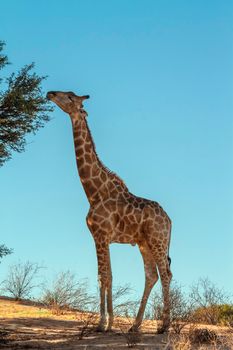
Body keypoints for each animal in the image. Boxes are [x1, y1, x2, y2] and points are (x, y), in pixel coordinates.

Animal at [46, 90, 172, 334]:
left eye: (70, 97)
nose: (50, 93)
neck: (93, 191)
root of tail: (170, 221)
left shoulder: (101, 235)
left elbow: (103, 276)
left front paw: (102, 323)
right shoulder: (101, 237)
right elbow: (108, 276)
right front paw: (110, 322)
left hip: (157, 240)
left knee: (166, 274)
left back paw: (165, 326)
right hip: (144, 243)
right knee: (151, 275)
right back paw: (135, 325)